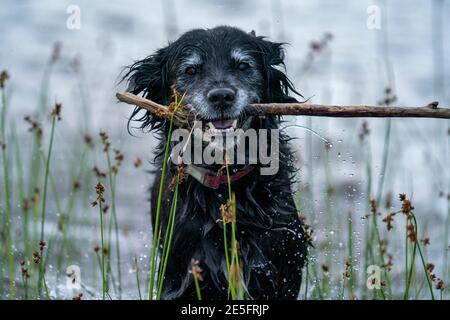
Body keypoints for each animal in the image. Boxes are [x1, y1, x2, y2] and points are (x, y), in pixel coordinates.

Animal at [121, 26, 308, 298]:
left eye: (243, 65)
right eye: (190, 70)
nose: (221, 96)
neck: (224, 179)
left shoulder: (281, 264)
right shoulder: (181, 271)